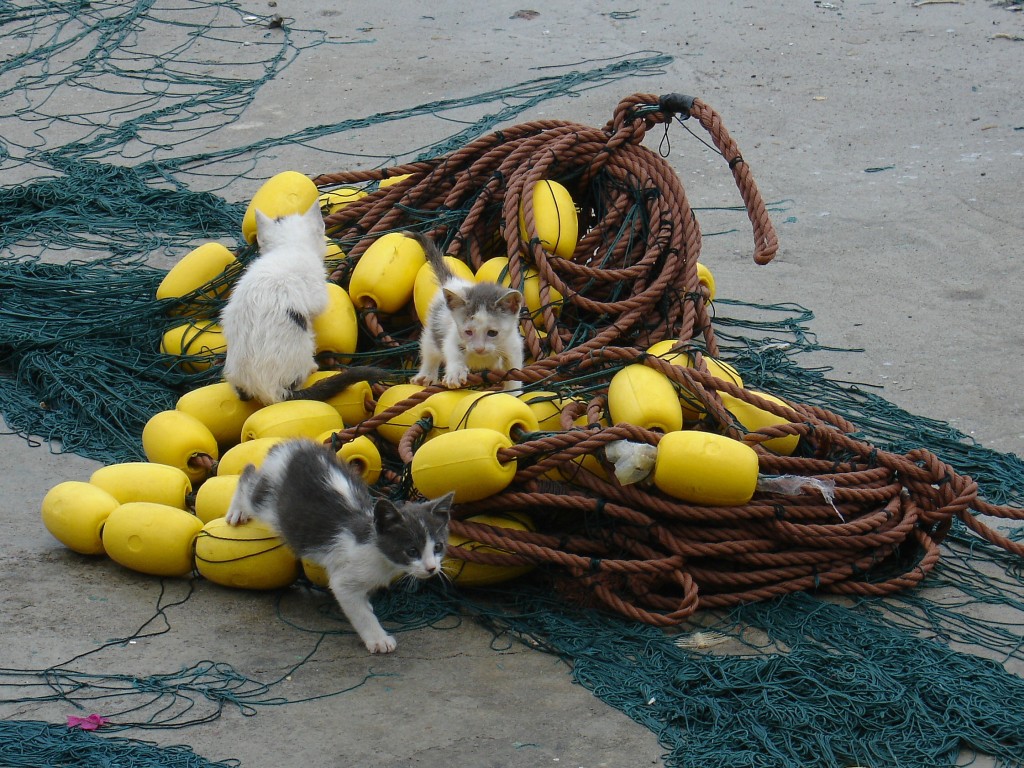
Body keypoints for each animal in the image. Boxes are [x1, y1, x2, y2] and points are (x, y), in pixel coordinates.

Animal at [226, 438, 454, 655]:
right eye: (412, 551)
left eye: (438, 547)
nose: (432, 568)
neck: (379, 554)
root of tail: (291, 446)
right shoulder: (344, 580)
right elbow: (359, 611)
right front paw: (378, 639)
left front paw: (368, 604)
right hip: (267, 504)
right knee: (249, 479)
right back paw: (237, 510)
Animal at [407, 233, 524, 391]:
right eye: (468, 332)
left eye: (492, 333)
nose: (479, 349)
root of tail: (453, 282)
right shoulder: (452, 335)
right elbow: (451, 350)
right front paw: (455, 373)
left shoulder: (513, 345)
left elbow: (513, 370)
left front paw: (513, 391)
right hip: (434, 328)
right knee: (430, 351)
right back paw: (426, 376)